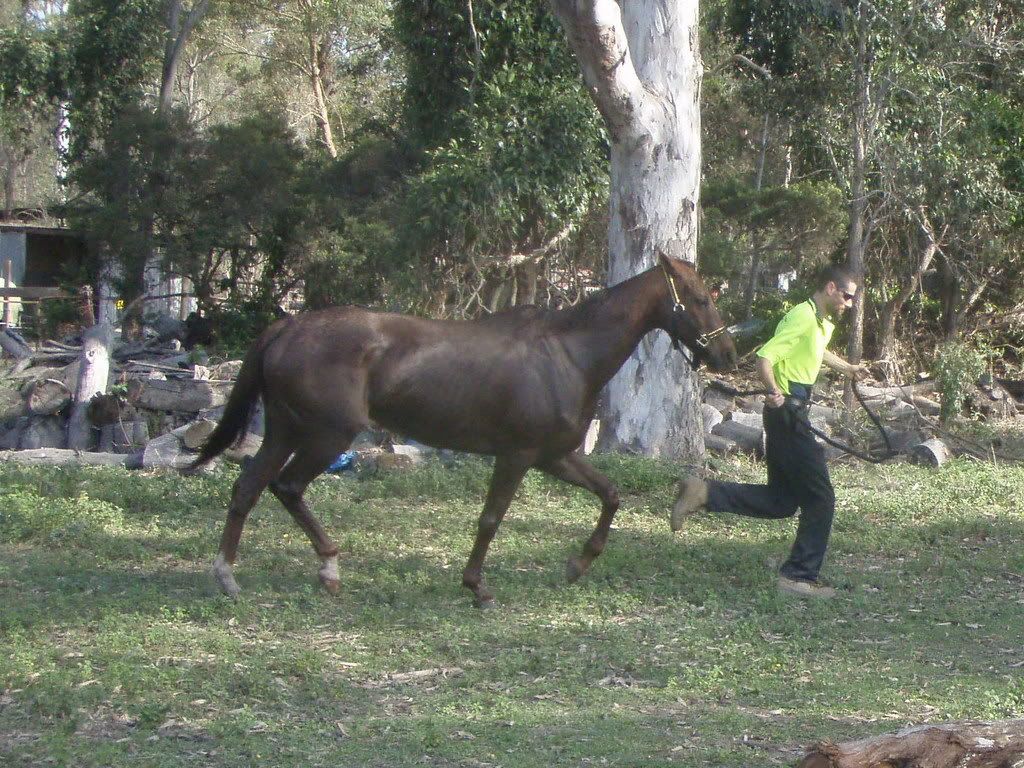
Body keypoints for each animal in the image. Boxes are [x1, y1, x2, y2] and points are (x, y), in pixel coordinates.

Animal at [187, 253, 737, 607]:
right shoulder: (517, 455)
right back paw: (322, 568)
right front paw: (477, 587)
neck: (567, 354)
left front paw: (578, 565)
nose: (728, 354)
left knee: (249, 487)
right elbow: (490, 519)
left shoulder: (554, 456)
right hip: (325, 436)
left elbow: (611, 495)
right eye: (699, 298)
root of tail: (287, 327)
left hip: (285, 432)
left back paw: (233, 575)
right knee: (286, 487)